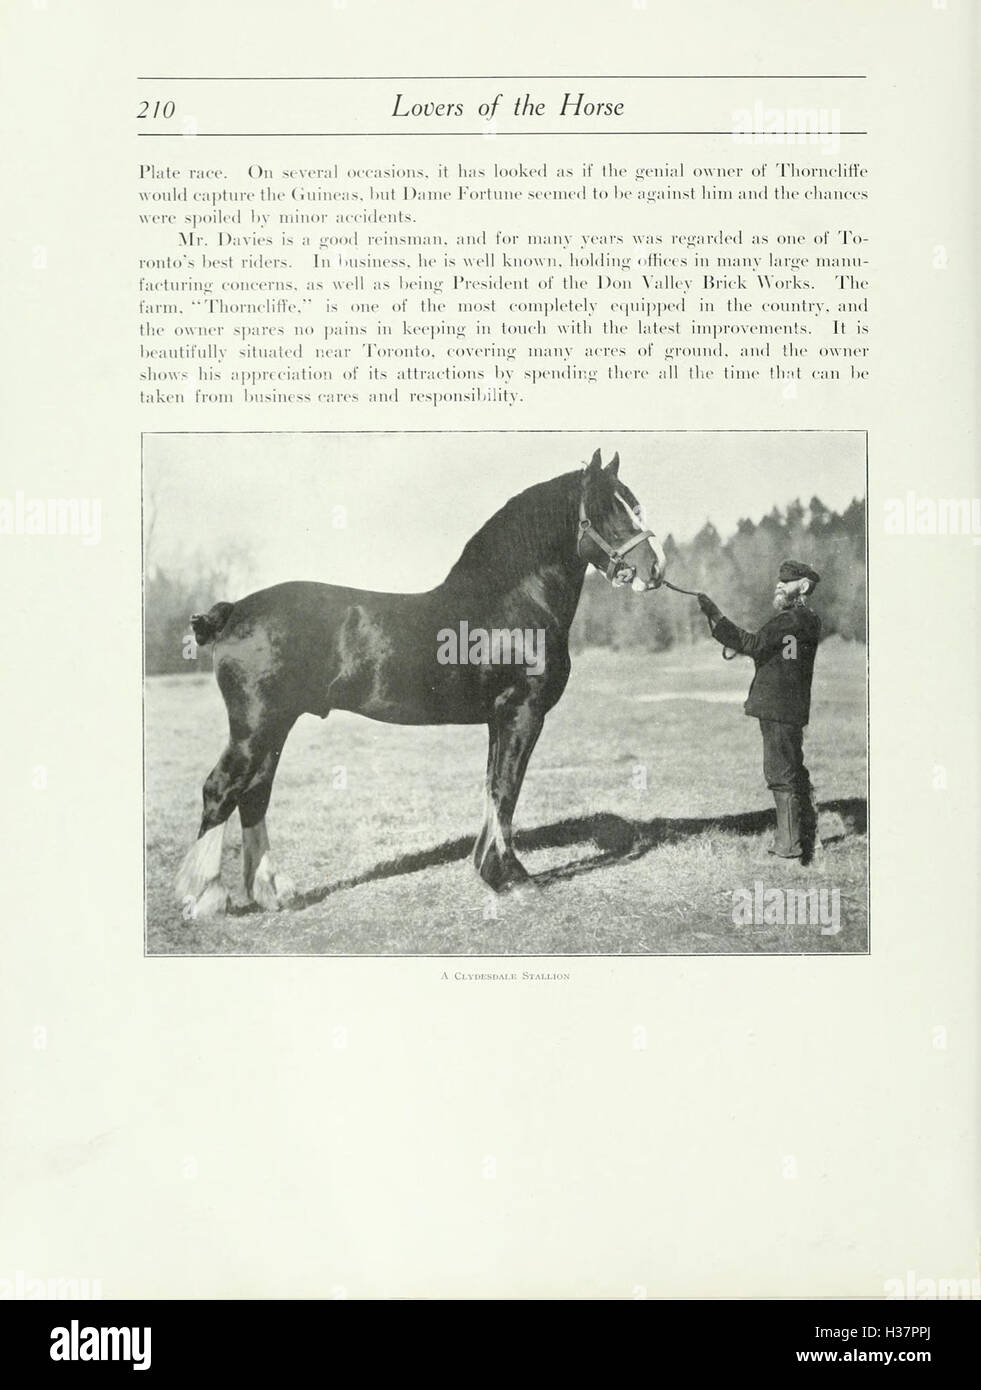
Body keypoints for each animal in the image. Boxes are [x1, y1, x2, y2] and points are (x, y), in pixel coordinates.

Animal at [174, 449, 667, 919]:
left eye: (634, 504)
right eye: (607, 510)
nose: (655, 569)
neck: (510, 603)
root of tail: (232, 611)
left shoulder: (499, 718)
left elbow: (493, 787)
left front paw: (488, 870)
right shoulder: (523, 712)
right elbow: (506, 790)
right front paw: (514, 878)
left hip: (274, 726)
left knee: (255, 793)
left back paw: (272, 892)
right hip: (256, 726)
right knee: (221, 790)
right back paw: (205, 898)